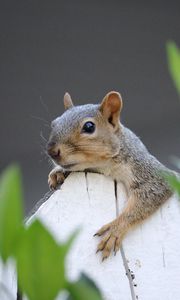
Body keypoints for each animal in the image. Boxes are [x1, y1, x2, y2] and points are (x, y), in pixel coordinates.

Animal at [47, 91, 174, 260]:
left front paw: (114, 229)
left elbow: (150, 194)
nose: (51, 151)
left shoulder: (146, 170)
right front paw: (57, 172)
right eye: (54, 123)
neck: (103, 165)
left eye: (89, 126)